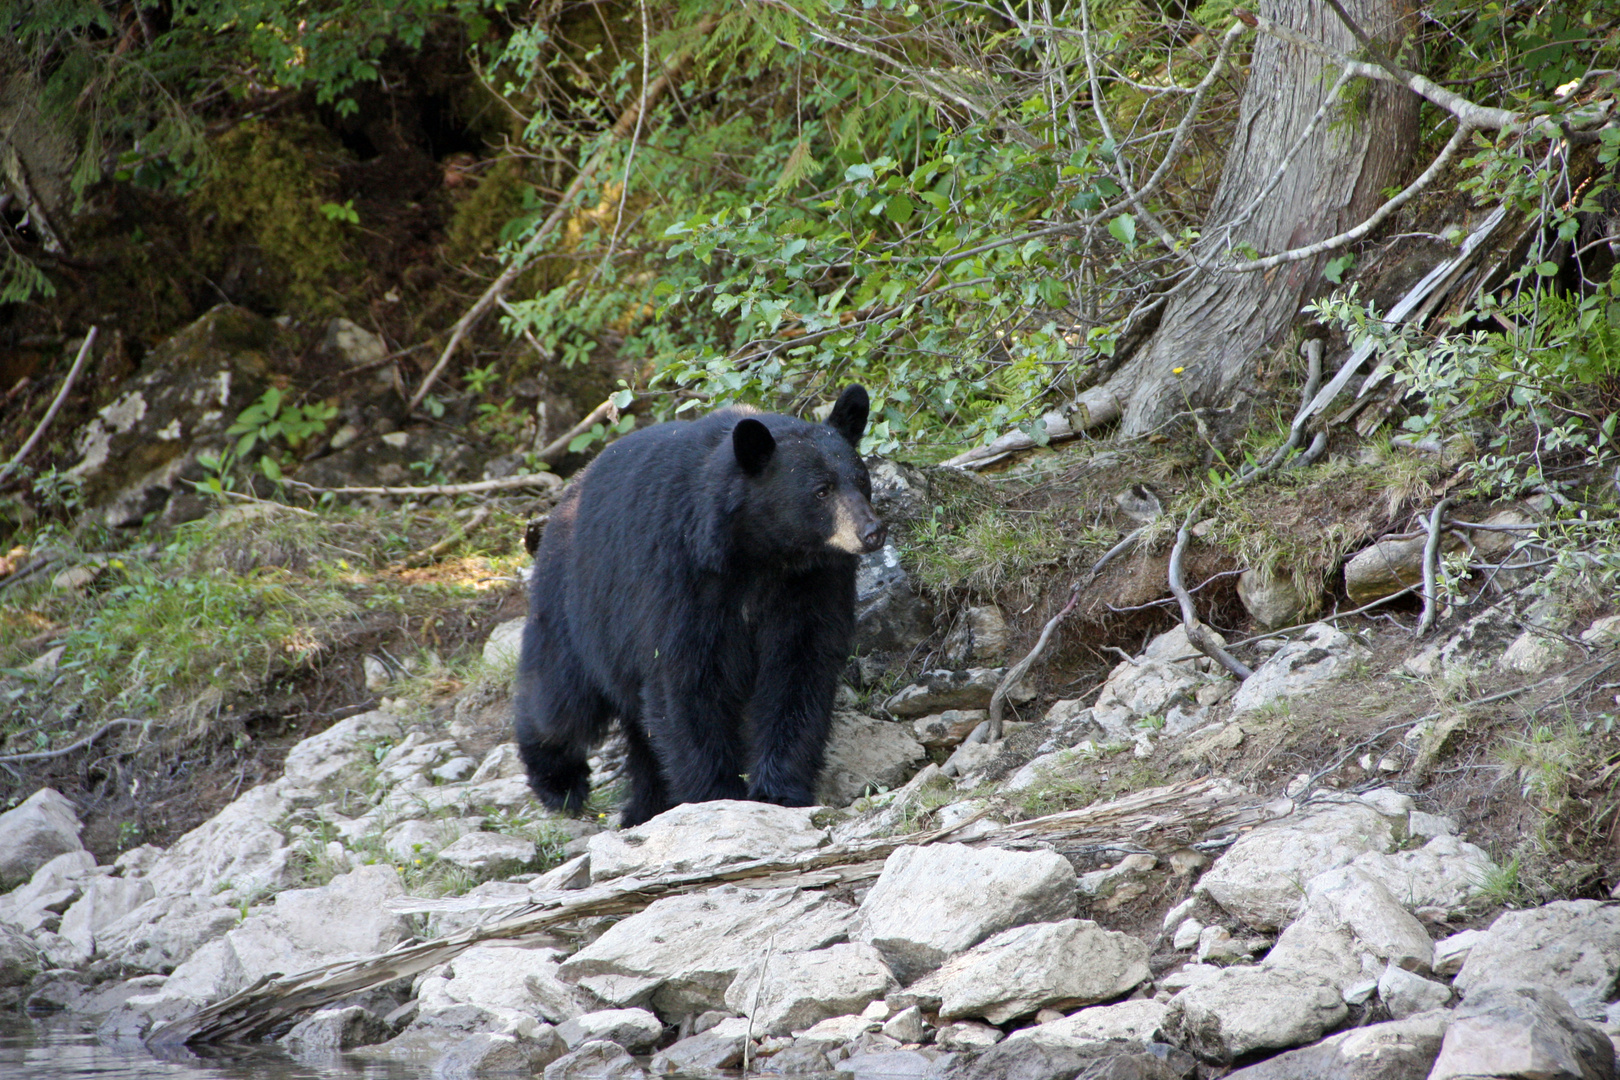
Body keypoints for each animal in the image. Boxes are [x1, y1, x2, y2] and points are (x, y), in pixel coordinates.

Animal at [515, 386, 887, 829]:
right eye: (821, 490)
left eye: (862, 481)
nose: (872, 531)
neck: (761, 556)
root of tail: (564, 500)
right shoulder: (680, 579)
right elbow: (685, 679)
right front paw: (716, 794)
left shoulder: (812, 585)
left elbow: (799, 672)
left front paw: (780, 789)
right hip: (576, 603)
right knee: (559, 698)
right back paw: (559, 782)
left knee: (638, 729)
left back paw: (646, 805)